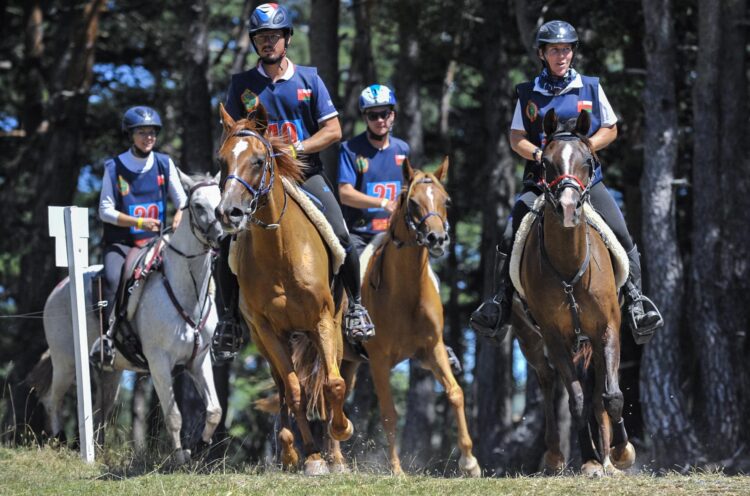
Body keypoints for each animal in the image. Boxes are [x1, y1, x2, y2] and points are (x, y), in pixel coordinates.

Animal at [29, 171, 223, 464]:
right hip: (66, 362)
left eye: (222, 201)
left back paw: (97, 449)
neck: (187, 289)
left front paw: (199, 448)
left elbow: (214, 410)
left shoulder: (198, 361)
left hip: (110, 371)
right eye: (198, 205)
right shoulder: (158, 361)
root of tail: (59, 289)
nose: (220, 235)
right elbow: (174, 415)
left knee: (101, 409)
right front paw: (180, 457)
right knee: (52, 399)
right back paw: (59, 442)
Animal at [216, 102, 354, 474]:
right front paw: (311, 457)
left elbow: (334, 384)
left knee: (328, 382)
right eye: (222, 161)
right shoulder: (267, 329)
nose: (229, 212)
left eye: (258, 161)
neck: (280, 252)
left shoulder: (321, 320)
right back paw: (292, 451)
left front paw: (339, 434)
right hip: (266, 340)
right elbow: (294, 391)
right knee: (284, 387)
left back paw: (335, 454)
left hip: (332, 331)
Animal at [346, 159, 482, 476]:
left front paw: (469, 462)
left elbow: (456, 393)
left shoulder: (432, 349)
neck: (405, 294)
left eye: (446, 200)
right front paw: (396, 469)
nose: (438, 239)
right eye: (413, 202)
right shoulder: (380, 360)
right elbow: (389, 413)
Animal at [516, 109, 636, 476]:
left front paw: (621, 451)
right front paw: (591, 459)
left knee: (598, 391)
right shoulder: (555, 336)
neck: (569, 266)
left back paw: (607, 456)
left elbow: (610, 396)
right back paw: (564, 455)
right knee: (551, 383)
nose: (568, 208)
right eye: (546, 163)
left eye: (586, 160)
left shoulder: (607, 328)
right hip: (531, 340)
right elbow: (577, 398)